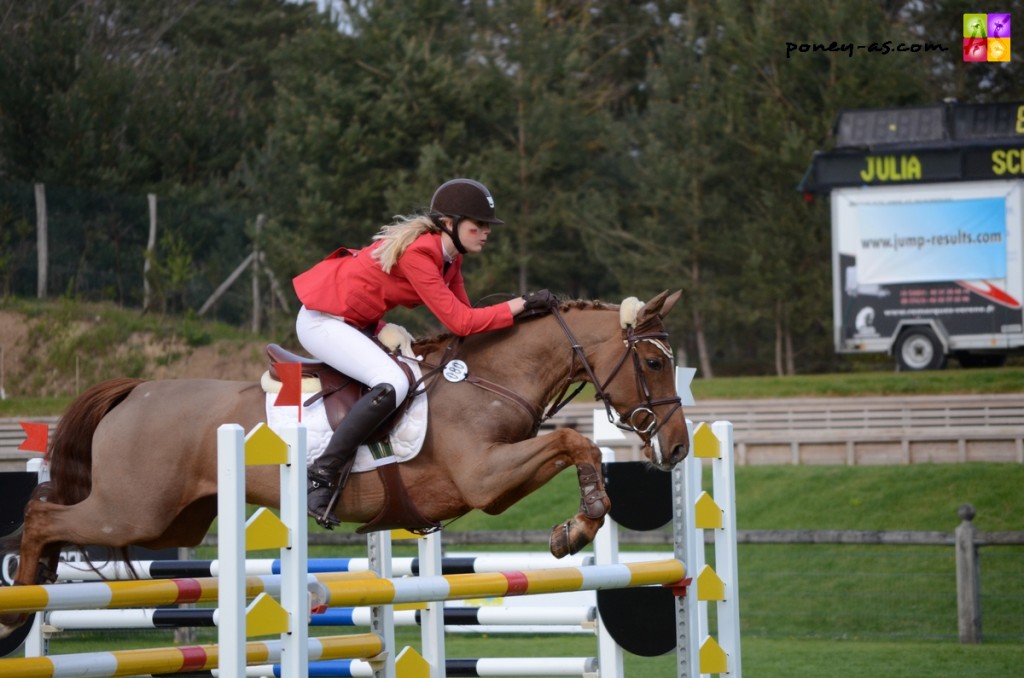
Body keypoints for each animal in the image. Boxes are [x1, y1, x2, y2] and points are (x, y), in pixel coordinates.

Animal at [2, 288, 688, 639]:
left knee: (52, 513)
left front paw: (579, 523)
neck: (488, 379)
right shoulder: (486, 480)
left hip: (173, 521)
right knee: (40, 516)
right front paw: (578, 525)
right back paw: (19, 602)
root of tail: (136, 390)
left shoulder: (493, 479)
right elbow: (576, 443)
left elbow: (577, 446)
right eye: (654, 363)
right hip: (132, 512)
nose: (680, 447)